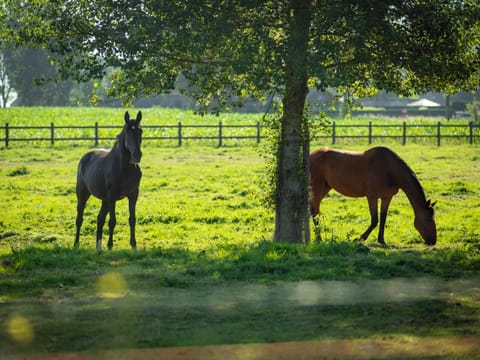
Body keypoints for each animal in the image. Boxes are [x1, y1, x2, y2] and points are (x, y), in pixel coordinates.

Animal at [75, 110, 142, 250]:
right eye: (127, 131)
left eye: (140, 131)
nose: (137, 155)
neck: (125, 168)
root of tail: (85, 157)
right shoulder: (112, 196)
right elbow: (112, 221)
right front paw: (110, 245)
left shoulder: (133, 195)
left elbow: (132, 219)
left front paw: (133, 244)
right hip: (83, 194)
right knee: (79, 218)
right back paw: (76, 243)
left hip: (104, 200)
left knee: (99, 219)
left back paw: (98, 247)